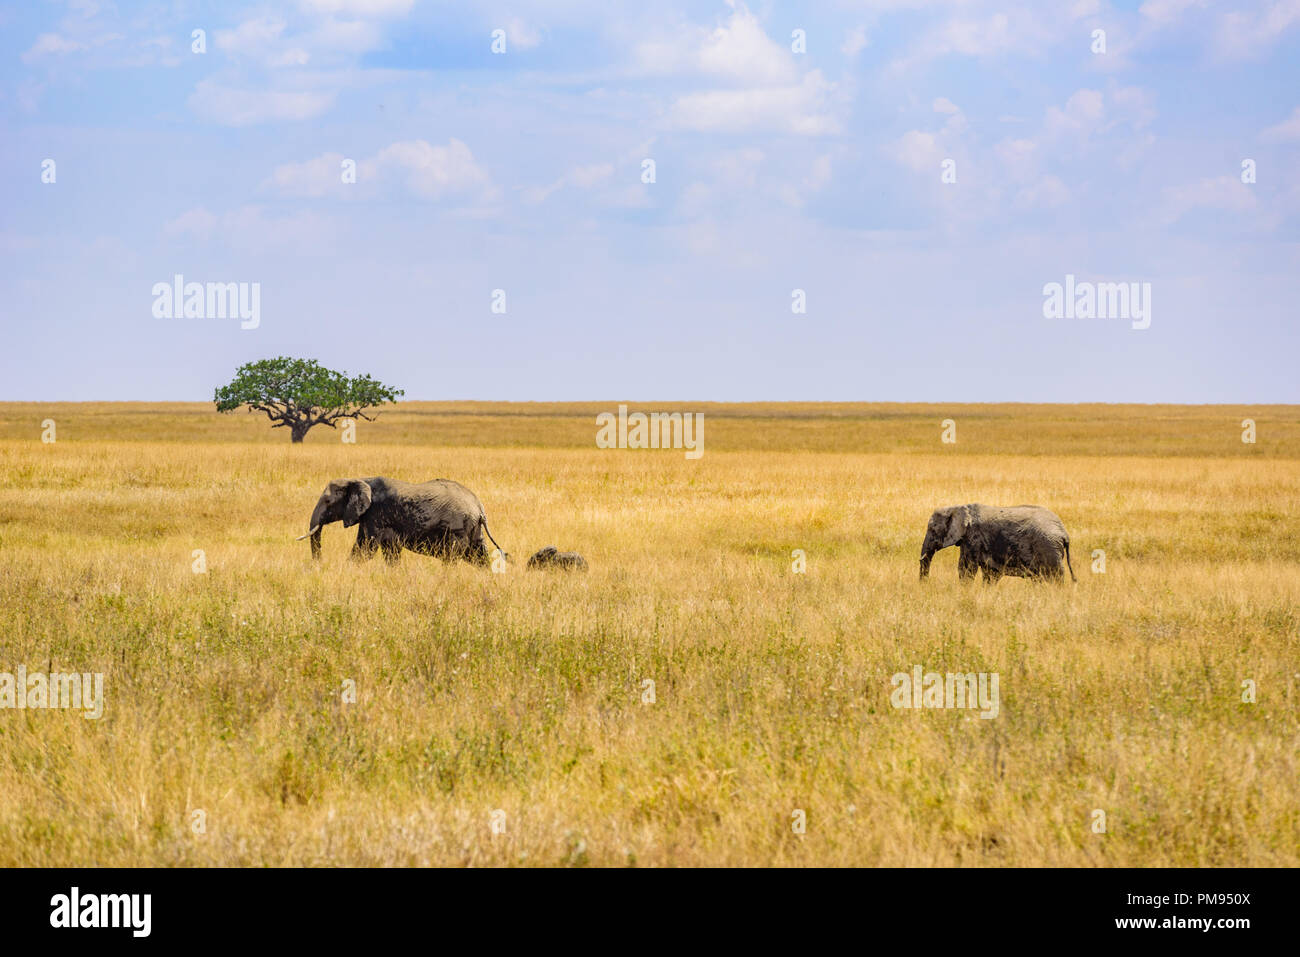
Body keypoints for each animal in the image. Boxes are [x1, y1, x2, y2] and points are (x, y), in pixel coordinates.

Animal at [297, 475, 504, 564]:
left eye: (328, 501)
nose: (319, 564)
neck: (358, 479)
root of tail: (479, 506)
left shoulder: (375, 514)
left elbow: (366, 549)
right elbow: (371, 546)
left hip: (458, 528)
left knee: (453, 555)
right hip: (473, 528)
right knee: (478, 554)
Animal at [915, 509, 1076, 582]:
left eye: (932, 530)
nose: (926, 585)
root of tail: (1065, 534)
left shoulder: (973, 538)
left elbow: (966, 568)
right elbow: (990, 573)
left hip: (1049, 548)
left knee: (1054, 576)